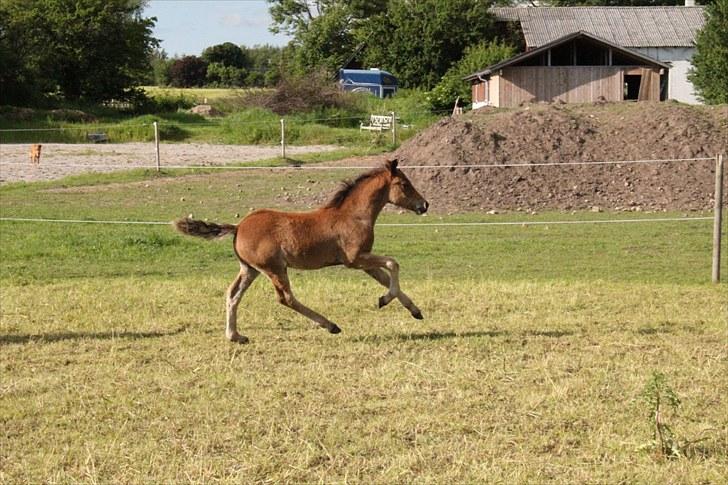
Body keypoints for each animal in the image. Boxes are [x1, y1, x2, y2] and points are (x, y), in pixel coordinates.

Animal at [174, 158, 430, 340]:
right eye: (404, 185)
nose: (425, 205)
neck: (353, 216)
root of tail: (238, 227)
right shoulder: (355, 259)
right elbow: (393, 263)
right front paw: (384, 300)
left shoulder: (364, 263)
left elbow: (387, 279)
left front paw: (414, 310)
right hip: (275, 268)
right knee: (285, 298)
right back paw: (330, 325)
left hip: (250, 269)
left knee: (232, 294)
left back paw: (235, 336)